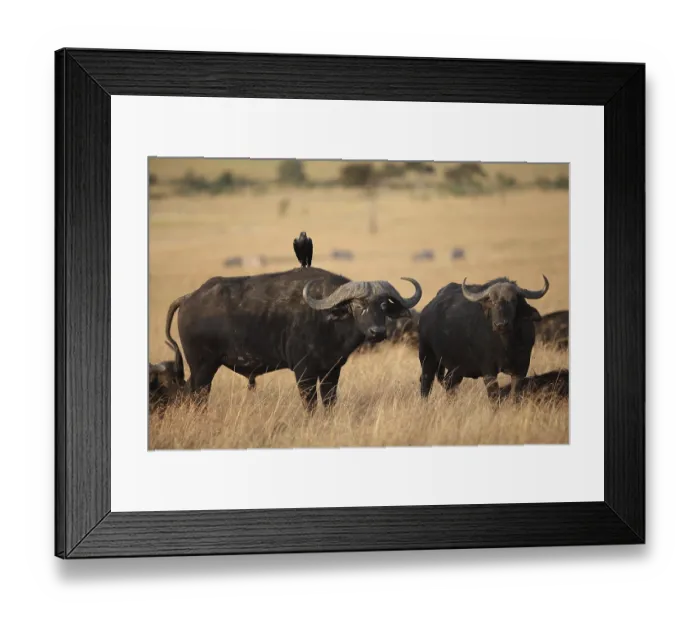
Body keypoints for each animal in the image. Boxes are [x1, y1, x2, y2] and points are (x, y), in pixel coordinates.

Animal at [165, 267, 422, 411]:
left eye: (383, 305)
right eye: (357, 305)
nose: (377, 332)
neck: (326, 320)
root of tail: (189, 297)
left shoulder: (331, 371)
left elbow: (329, 402)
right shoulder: (303, 372)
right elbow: (310, 404)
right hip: (203, 367)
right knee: (197, 396)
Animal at [418, 275, 549, 402]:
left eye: (513, 300)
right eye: (491, 301)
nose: (501, 325)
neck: (506, 345)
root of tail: (427, 310)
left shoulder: (521, 369)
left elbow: (515, 395)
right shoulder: (489, 371)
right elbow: (494, 397)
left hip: (456, 367)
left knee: (450, 384)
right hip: (427, 357)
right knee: (426, 382)